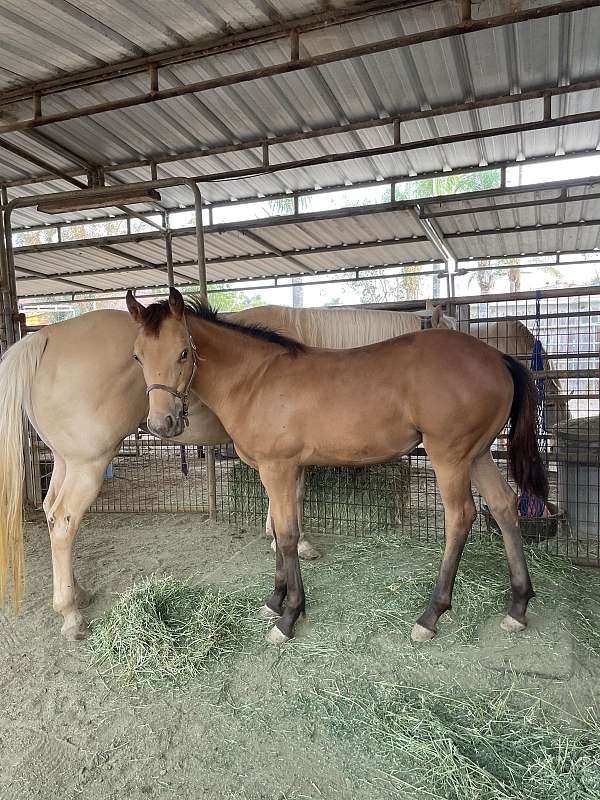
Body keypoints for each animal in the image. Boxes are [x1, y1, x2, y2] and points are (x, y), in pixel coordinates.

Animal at [0, 300, 450, 636]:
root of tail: (44, 337)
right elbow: (294, 503)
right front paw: (295, 549)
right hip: (88, 463)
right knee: (64, 521)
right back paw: (70, 613)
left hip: (67, 461)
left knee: (51, 512)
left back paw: (77, 591)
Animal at [126, 290, 548, 648]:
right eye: (138, 356)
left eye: (183, 352)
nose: (162, 424)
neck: (256, 379)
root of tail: (497, 358)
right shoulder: (282, 470)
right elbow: (280, 531)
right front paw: (275, 601)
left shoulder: (277, 468)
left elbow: (287, 535)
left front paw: (289, 616)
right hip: (477, 455)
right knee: (504, 505)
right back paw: (517, 606)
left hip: (450, 456)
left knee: (461, 516)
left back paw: (431, 615)